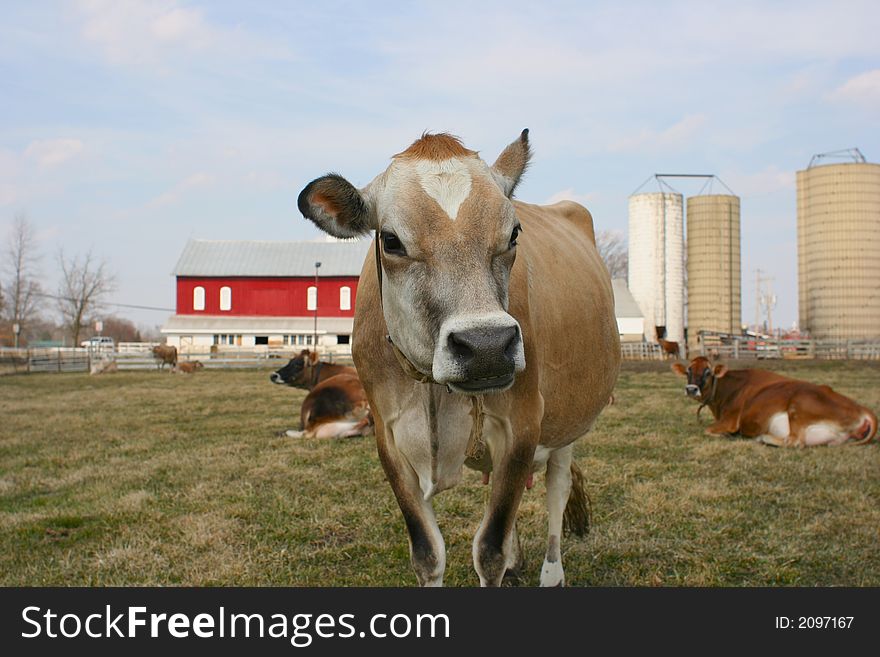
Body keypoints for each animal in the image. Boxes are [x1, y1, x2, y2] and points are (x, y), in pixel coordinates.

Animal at [300, 131, 624, 588]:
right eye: (391, 240)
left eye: (514, 234)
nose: (486, 345)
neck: (433, 391)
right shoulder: (388, 436)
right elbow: (428, 552)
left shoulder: (523, 424)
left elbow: (488, 550)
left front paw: (506, 560)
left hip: (568, 423)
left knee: (557, 490)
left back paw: (551, 571)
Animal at [672, 358, 872, 446]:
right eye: (688, 370)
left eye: (708, 372)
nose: (691, 389)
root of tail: (861, 408)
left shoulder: (730, 420)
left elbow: (708, 430)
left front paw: (727, 435)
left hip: (798, 404)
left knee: (794, 442)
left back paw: (762, 438)